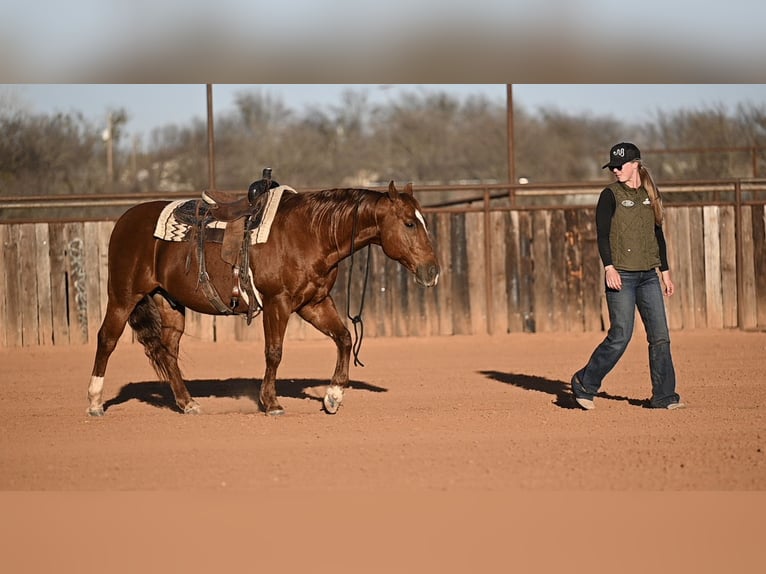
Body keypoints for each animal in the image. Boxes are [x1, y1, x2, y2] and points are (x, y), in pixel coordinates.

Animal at [86, 181, 440, 417]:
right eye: (410, 223)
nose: (432, 270)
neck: (308, 233)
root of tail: (124, 221)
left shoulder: (314, 303)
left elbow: (344, 338)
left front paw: (333, 396)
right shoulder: (277, 303)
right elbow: (274, 352)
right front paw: (270, 403)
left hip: (169, 302)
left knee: (167, 351)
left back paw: (188, 403)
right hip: (123, 296)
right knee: (107, 339)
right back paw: (94, 402)